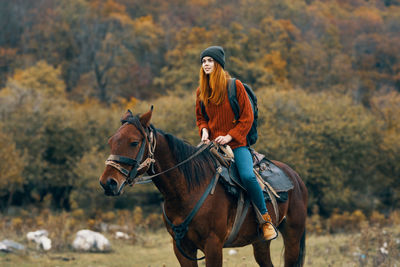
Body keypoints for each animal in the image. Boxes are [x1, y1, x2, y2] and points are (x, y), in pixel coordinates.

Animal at [99, 108, 306, 266]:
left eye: (134, 142)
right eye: (111, 141)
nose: (108, 183)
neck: (187, 191)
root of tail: (296, 178)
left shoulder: (213, 245)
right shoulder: (182, 248)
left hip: (293, 237)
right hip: (260, 242)